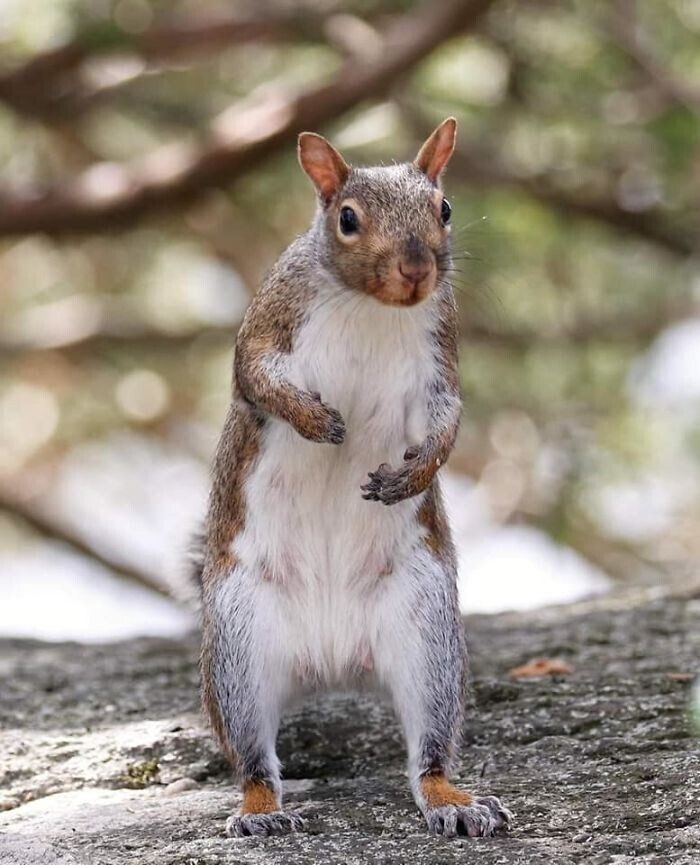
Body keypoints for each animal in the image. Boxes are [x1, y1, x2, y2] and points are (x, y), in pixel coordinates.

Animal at [194, 118, 512, 840]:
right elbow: (256, 376)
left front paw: (412, 476)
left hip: (428, 633)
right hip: (237, 643)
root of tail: (329, 661)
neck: (371, 306)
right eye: (346, 218)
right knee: (255, 760)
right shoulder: (271, 321)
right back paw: (258, 811)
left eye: (444, 209)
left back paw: (454, 800)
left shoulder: (439, 355)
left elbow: (448, 422)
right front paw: (315, 420)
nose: (418, 269)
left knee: (428, 753)